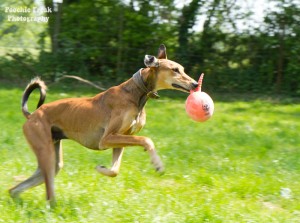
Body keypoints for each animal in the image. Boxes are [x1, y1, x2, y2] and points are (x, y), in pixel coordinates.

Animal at [9, 44, 198, 205]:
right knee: (48, 195)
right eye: (175, 69)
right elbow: (146, 140)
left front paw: (101, 168)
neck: (135, 92)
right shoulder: (107, 139)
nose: (195, 84)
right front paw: (157, 164)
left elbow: (114, 171)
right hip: (46, 154)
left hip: (52, 159)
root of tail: (31, 115)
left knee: (15, 189)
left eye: (182, 69)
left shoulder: (121, 140)